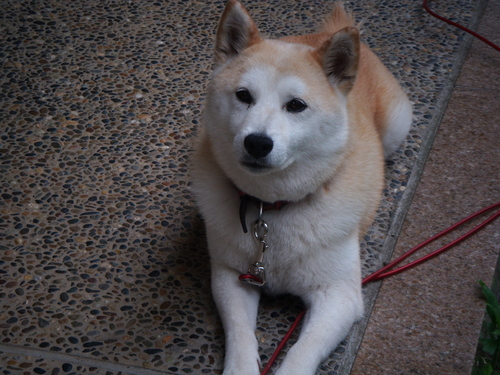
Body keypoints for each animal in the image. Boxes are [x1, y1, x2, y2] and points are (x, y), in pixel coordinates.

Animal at [189, 1, 412, 374]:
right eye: (243, 96)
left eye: (296, 105)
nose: (257, 143)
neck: (272, 207)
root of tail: (328, 32)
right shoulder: (231, 276)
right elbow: (240, 334)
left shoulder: (339, 295)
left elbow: (301, 352)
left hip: (398, 126)